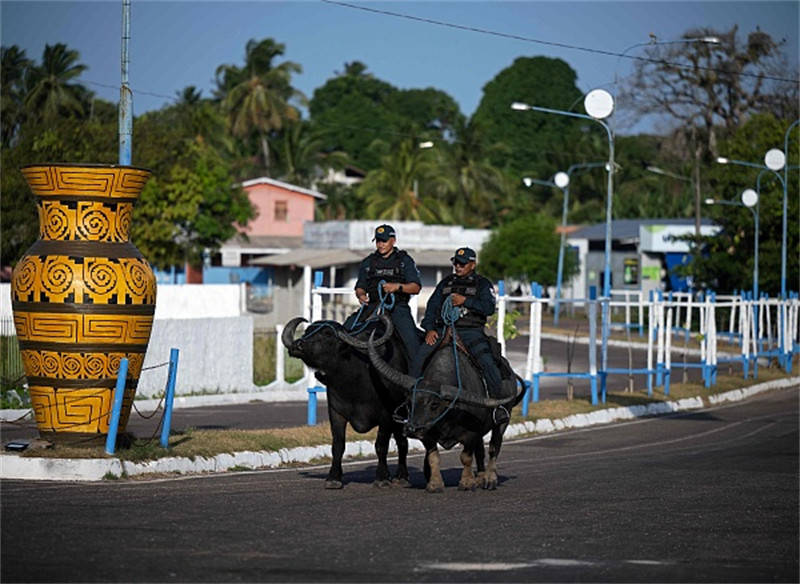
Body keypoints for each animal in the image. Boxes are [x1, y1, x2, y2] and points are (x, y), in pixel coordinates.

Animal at [282, 314, 412, 488]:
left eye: (328, 334)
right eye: (307, 331)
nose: (297, 345)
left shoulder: (387, 416)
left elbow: (381, 445)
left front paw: (382, 478)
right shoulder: (336, 413)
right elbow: (338, 445)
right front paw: (333, 478)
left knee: (402, 442)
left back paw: (402, 477)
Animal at [368, 334, 524, 492]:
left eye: (434, 404)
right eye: (409, 401)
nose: (411, 429)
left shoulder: (471, 434)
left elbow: (466, 457)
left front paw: (467, 482)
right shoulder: (427, 435)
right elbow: (433, 457)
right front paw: (435, 484)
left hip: (503, 421)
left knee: (494, 446)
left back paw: (489, 479)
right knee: (481, 450)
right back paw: (480, 477)